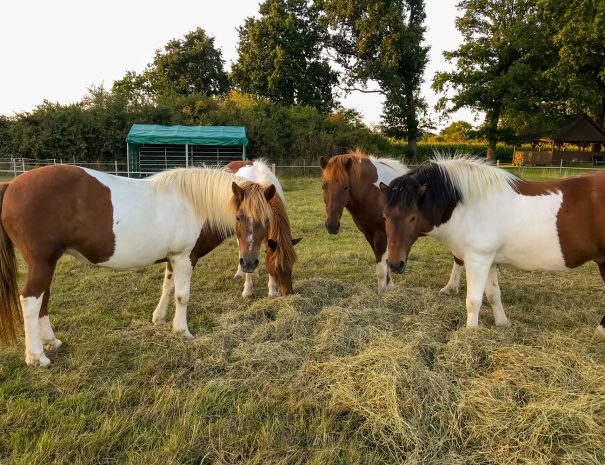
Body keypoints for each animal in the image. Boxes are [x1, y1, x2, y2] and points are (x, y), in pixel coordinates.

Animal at [0, 164, 274, 366]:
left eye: (266, 220)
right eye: (239, 217)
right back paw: (37, 356)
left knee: (43, 299)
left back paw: (51, 342)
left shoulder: (172, 258)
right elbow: (182, 295)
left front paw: (159, 319)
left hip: (48, 262)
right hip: (42, 262)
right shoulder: (184, 257)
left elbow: (168, 288)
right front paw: (182, 331)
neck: (195, 204)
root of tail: (12, 185)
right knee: (31, 300)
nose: (249, 263)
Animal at [320, 150, 462, 292]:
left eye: (345, 187)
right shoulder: (370, 236)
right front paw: (389, 286)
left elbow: (381, 269)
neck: (372, 193)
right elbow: (386, 264)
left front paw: (382, 292)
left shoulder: (381, 236)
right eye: (324, 186)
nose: (332, 226)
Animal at [380, 157, 604, 334]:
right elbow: (493, 295)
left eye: (412, 217)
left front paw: (471, 332)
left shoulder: (477, 260)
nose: (394, 264)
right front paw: (502, 323)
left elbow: (474, 300)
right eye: (385, 216)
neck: (469, 206)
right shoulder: (489, 261)